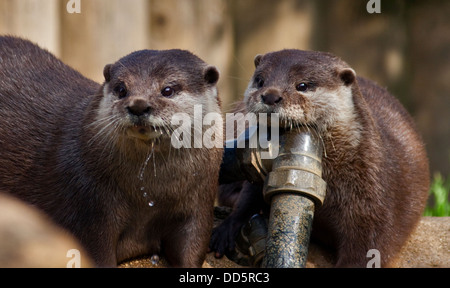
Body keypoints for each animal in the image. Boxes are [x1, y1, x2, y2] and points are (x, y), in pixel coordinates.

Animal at [0, 36, 224, 268]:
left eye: (168, 90)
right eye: (122, 89)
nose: (138, 105)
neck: (152, 192)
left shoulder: (199, 202)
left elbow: (193, 244)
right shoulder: (92, 205)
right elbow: (96, 251)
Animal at [211, 49, 428, 268]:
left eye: (302, 85)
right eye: (260, 80)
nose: (270, 96)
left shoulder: (376, 198)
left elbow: (370, 248)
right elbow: (249, 196)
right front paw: (229, 226)